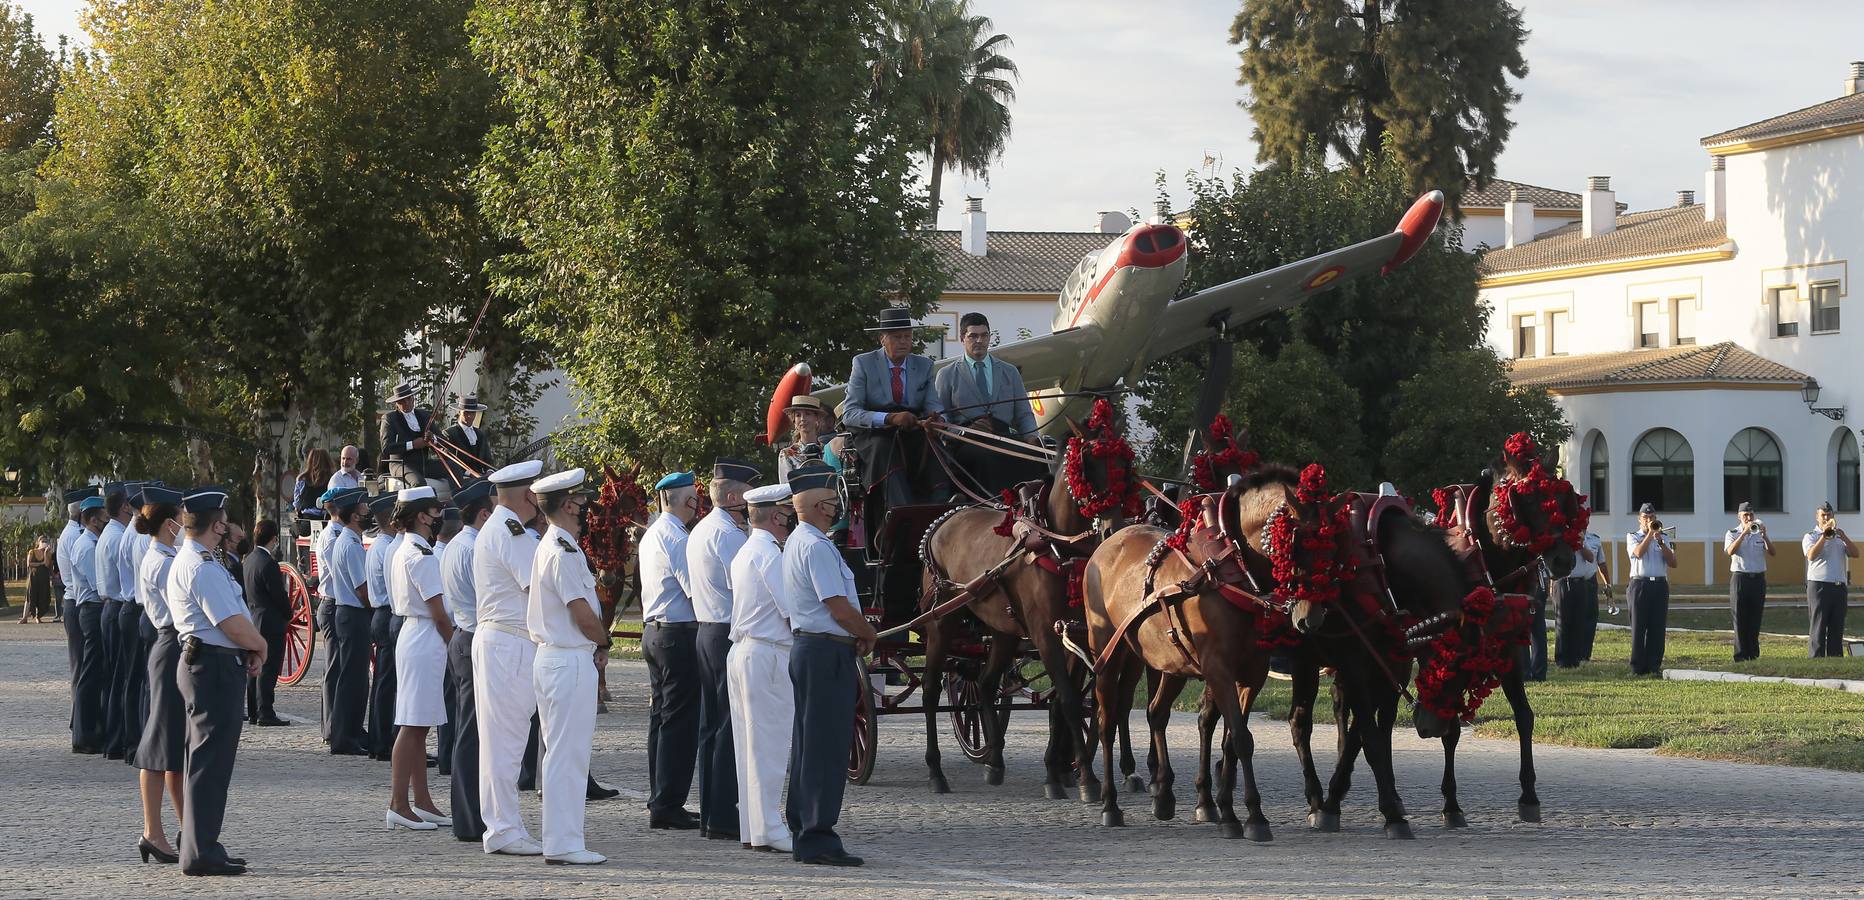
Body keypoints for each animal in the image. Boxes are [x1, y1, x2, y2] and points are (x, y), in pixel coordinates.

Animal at [913, 398, 1140, 801]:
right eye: (1089, 466)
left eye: (1124, 468)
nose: (1114, 530)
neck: (1055, 544)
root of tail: (946, 517)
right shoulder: (1045, 633)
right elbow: (1068, 700)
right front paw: (1086, 779)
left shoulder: (1074, 633)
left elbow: (1062, 703)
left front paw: (1057, 771)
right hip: (942, 620)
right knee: (928, 691)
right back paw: (936, 771)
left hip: (1002, 630)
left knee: (986, 683)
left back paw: (994, 762)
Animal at [1088, 467, 1334, 842]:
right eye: (1296, 544)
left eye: (1328, 547)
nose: (1311, 617)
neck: (1231, 568)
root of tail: (1109, 543)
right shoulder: (1218, 669)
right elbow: (1242, 739)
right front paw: (1253, 817)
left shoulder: (1252, 674)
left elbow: (1233, 740)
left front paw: (1231, 810)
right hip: (1109, 654)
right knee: (1106, 721)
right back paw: (1109, 804)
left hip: (1171, 663)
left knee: (1156, 713)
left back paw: (1164, 795)